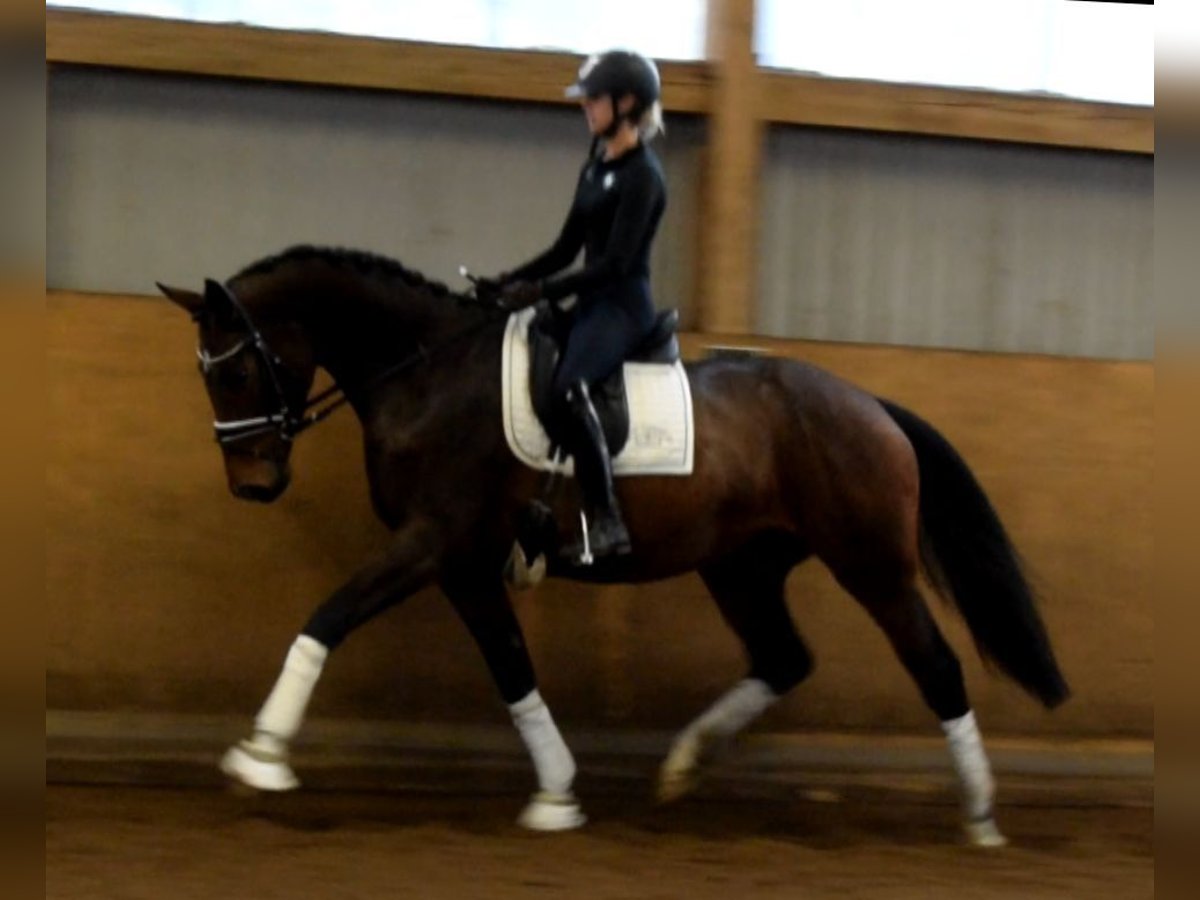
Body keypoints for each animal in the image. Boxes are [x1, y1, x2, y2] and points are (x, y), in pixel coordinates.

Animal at [159, 244, 1070, 844]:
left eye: (232, 370)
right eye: (207, 374)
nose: (252, 483)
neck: (424, 377)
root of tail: (872, 405)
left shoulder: (430, 543)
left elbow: (327, 619)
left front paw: (260, 757)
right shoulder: (460, 565)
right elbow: (512, 670)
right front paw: (558, 796)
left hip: (870, 564)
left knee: (936, 666)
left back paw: (981, 816)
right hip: (741, 565)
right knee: (783, 657)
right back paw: (683, 764)